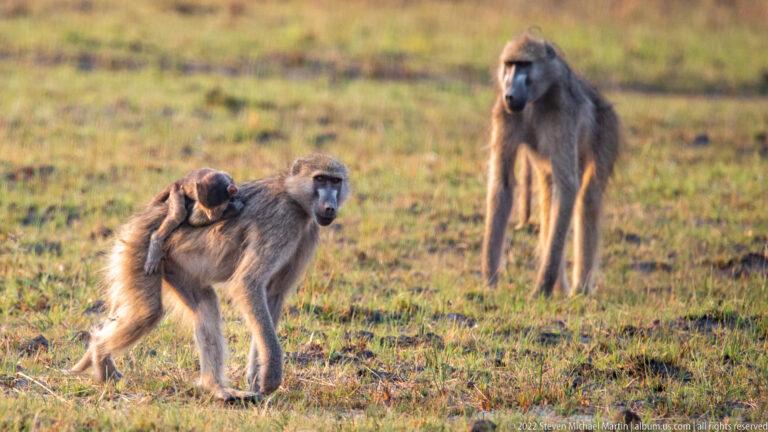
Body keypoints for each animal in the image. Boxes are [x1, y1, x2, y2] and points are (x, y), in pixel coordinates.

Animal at [69, 154, 350, 401]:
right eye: (320, 179)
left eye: (335, 181)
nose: (329, 206)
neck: (295, 198)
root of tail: (143, 218)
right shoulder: (283, 221)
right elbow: (248, 284)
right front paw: (271, 375)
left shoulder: (307, 231)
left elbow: (272, 295)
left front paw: (255, 379)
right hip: (140, 251)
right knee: (147, 312)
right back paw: (100, 355)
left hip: (172, 267)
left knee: (205, 303)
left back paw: (215, 388)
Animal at [481, 33, 620, 296]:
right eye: (509, 65)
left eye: (524, 65)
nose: (509, 94)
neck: (535, 101)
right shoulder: (504, 114)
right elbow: (503, 184)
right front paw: (490, 281)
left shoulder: (563, 113)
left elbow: (568, 188)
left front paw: (541, 287)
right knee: (549, 199)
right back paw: (561, 287)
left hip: (607, 130)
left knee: (587, 195)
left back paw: (580, 288)